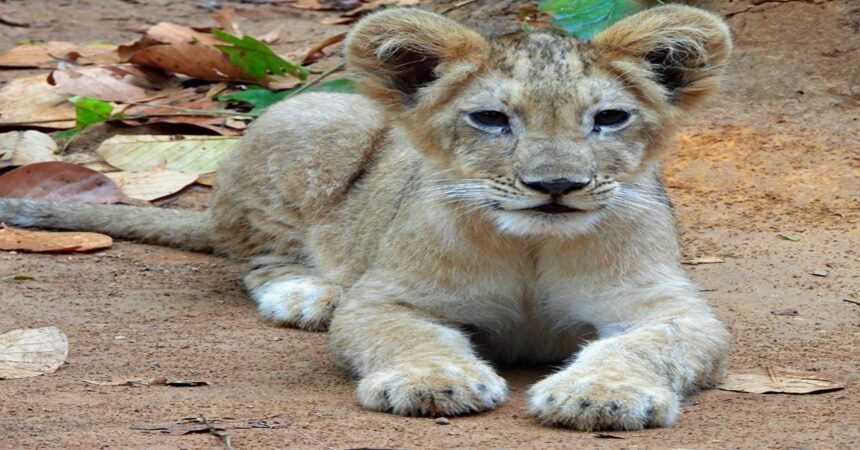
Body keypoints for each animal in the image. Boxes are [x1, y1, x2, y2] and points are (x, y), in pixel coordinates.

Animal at [0, 5, 733, 430]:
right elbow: (408, 336)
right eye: (491, 119)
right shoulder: (388, 298)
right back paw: (306, 295)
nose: (556, 186)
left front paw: (602, 395)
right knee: (259, 256)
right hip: (313, 115)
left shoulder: (673, 308)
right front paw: (434, 381)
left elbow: (647, 343)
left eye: (608, 118)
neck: (530, 247)